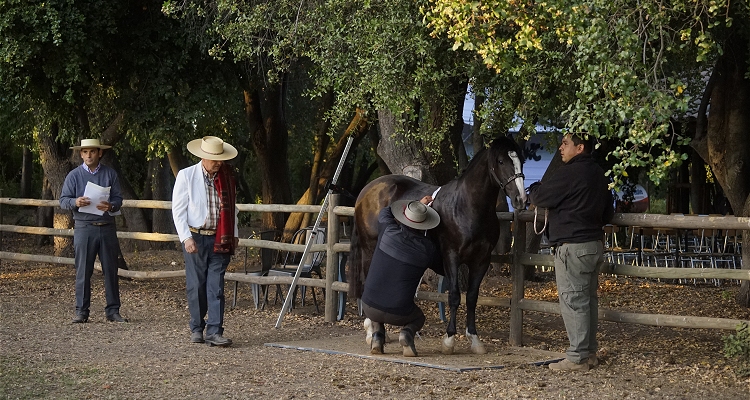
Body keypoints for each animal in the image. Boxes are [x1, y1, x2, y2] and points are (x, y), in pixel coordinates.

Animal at [350, 136, 524, 354]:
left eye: (521, 161)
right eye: (501, 161)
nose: (520, 199)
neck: (467, 207)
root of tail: (368, 189)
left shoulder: (481, 261)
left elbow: (472, 297)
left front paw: (475, 340)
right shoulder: (451, 257)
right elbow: (455, 296)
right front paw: (449, 340)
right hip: (369, 249)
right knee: (366, 284)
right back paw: (372, 331)